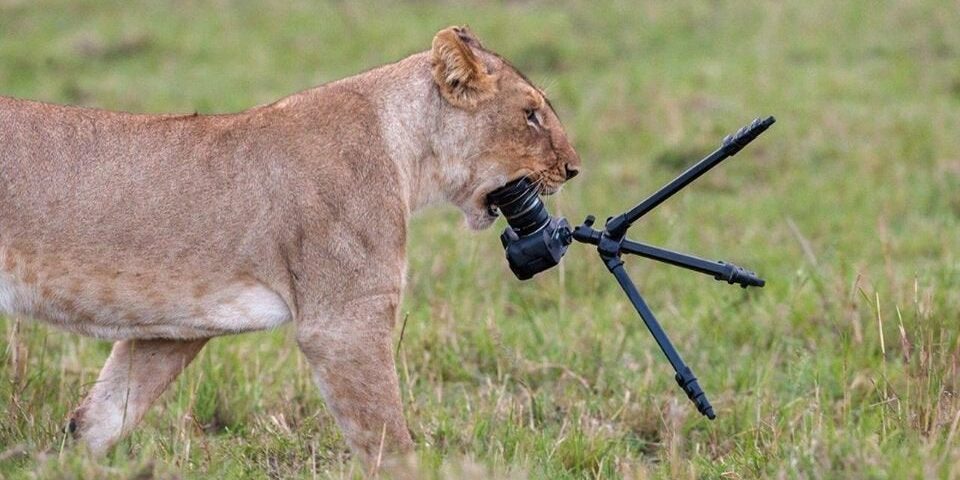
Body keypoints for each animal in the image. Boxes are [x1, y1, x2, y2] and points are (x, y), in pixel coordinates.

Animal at [0, 26, 580, 461]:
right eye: (531, 113)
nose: (574, 168)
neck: (408, 155)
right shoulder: (343, 322)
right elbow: (387, 438)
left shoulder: (173, 327)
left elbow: (100, 417)